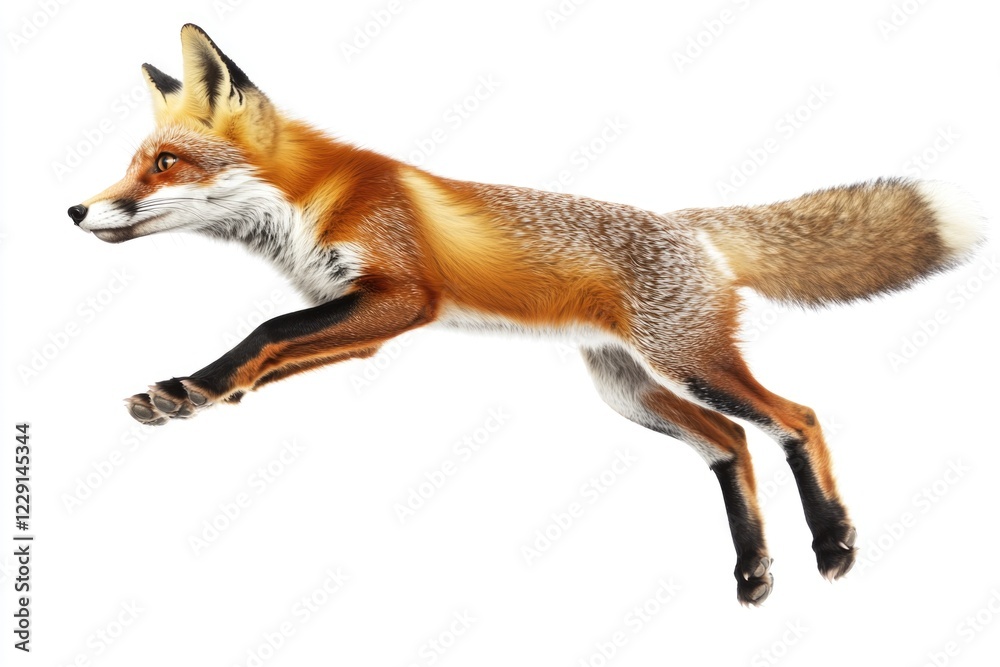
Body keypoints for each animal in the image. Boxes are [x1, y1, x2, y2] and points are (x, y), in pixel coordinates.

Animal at [69, 24, 985, 605]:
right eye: (136, 162)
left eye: (164, 163)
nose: (76, 210)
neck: (309, 206)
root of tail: (688, 225)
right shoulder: (353, 310)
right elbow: (271, 349)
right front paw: (201, 393)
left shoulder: (403, 298)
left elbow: (265, 332)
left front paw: (195, 386)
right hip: (631, 390)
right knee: (730, 442)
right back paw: (755, 567)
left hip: (690, 363)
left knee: (798, 417)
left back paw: (833, 541)